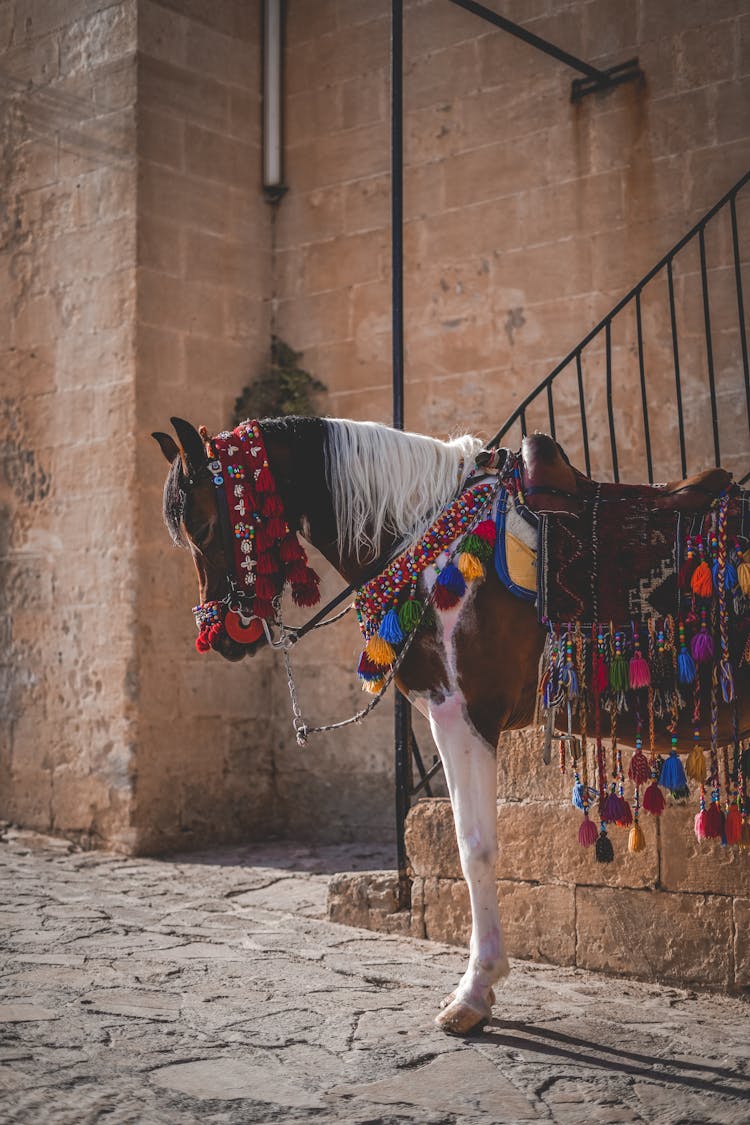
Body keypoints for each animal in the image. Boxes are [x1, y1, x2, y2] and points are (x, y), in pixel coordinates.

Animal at [154, 416, 750, 1035]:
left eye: (201, 524)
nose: (221, 636)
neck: (434, 544)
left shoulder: (462, 715)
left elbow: (474, 848)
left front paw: (475, 989)